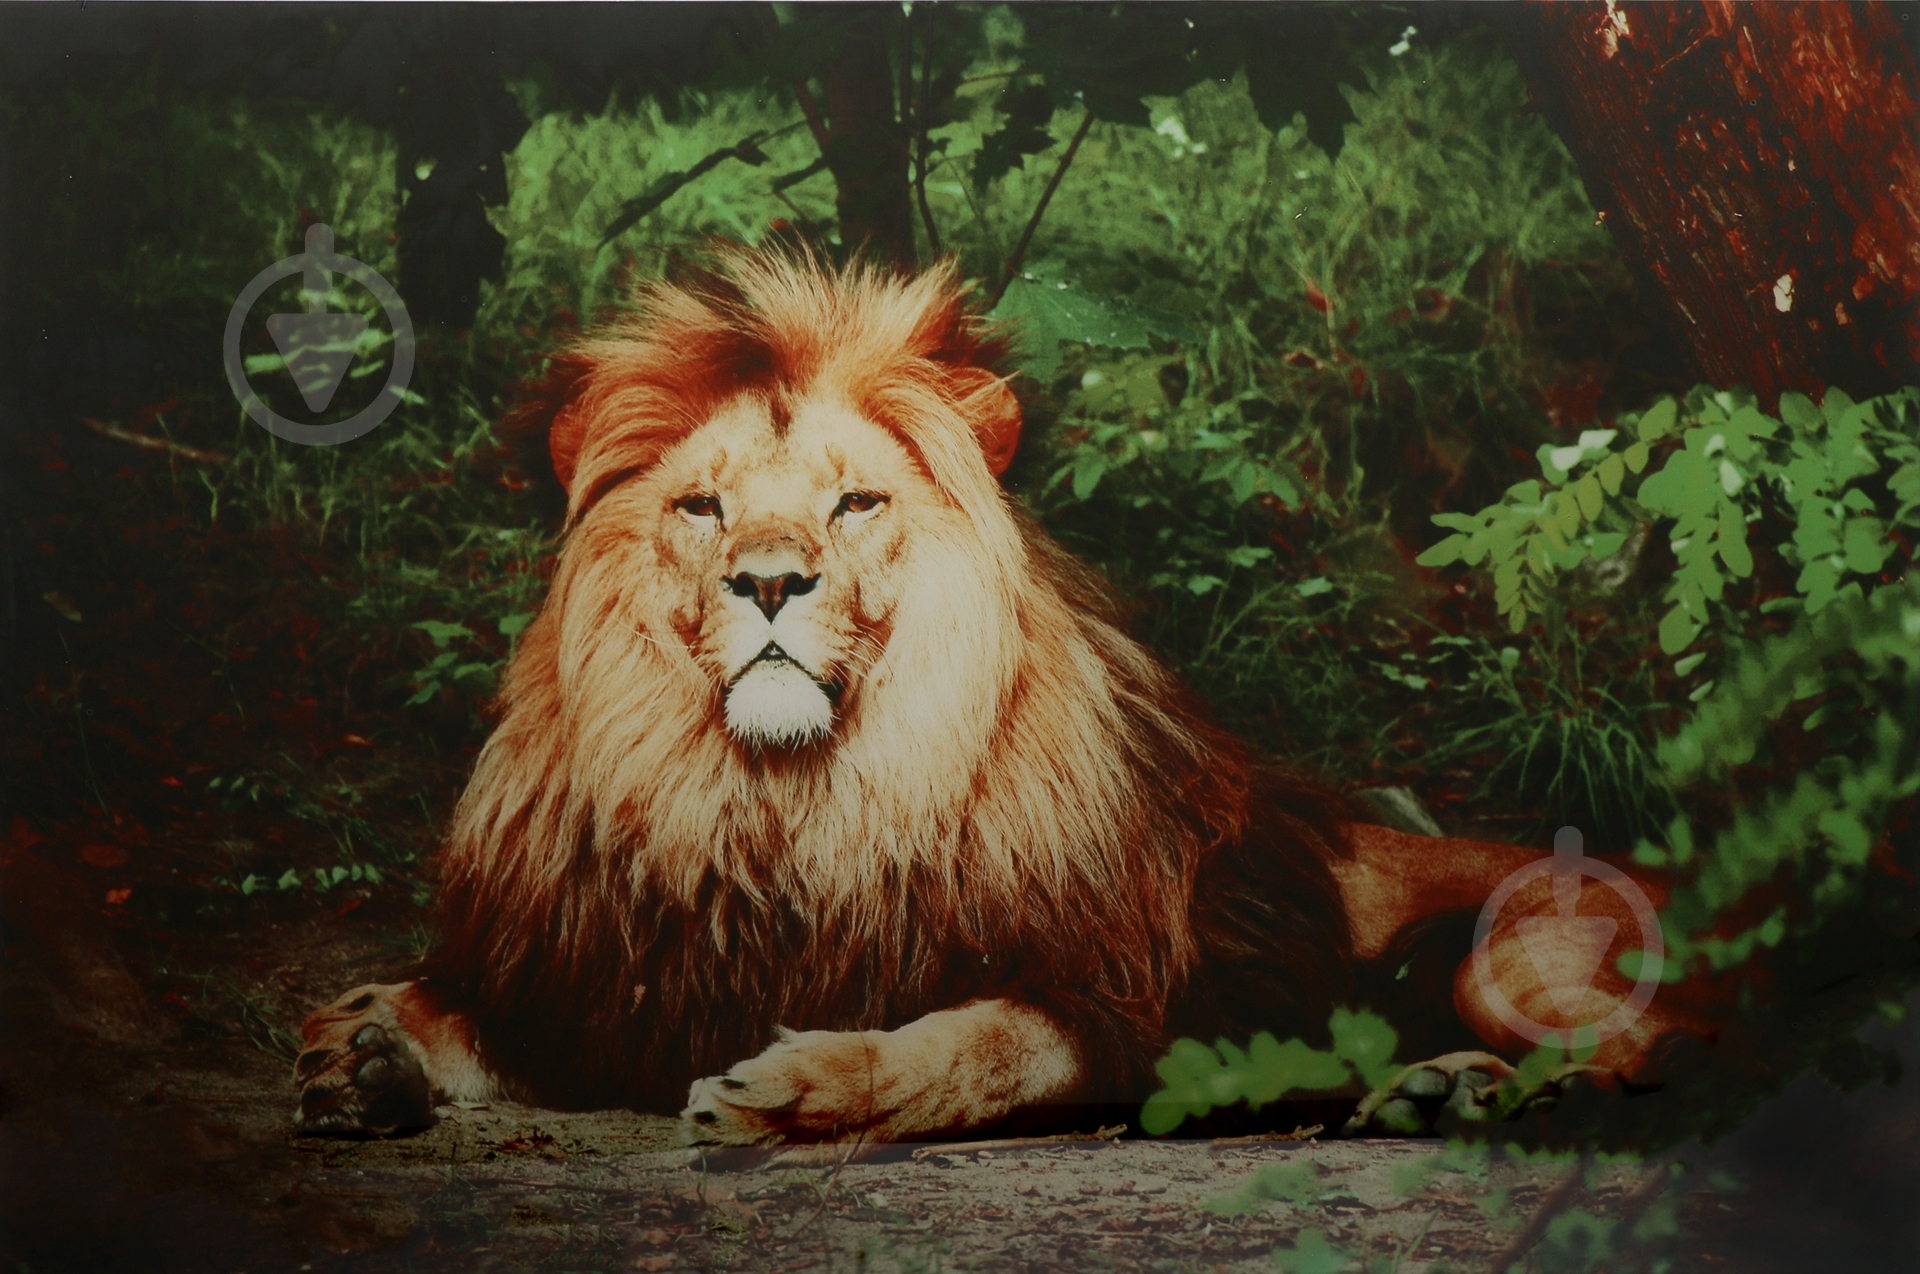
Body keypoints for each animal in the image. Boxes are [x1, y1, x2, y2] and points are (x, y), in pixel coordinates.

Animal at [293, 247, 1712, 1143]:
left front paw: (800, 1079)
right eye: (701, 506)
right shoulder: (609, 984)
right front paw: (370, 1048)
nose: (769, 580)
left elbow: (957, 1044)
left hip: (1511, 948)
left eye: (855, 502)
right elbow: (478, 1023)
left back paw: (1468, 1092)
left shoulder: (1137, 1006)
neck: (790, 806)